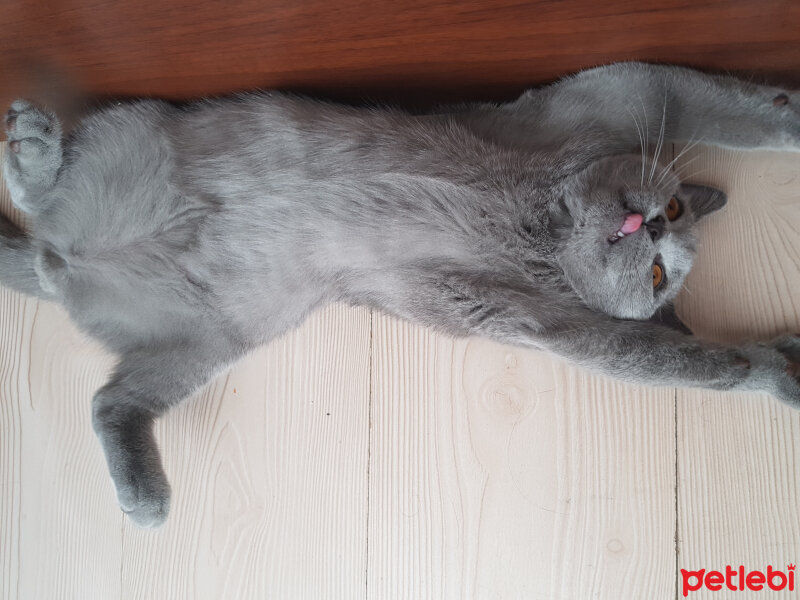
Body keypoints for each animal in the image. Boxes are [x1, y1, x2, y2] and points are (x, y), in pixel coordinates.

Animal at [1, 63, 800, 528]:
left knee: (109, 398)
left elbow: (680, 358)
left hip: (209, 341)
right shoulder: (614, 99)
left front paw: (769, 365)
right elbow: (724, 109)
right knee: (41, 199)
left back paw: (145, 502)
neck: (540, 225)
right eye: (672, 213)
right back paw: (33, 140)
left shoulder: (538, 320)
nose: (649, 224)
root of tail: (71, 265)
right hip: (139, 136)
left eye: (662, 273)